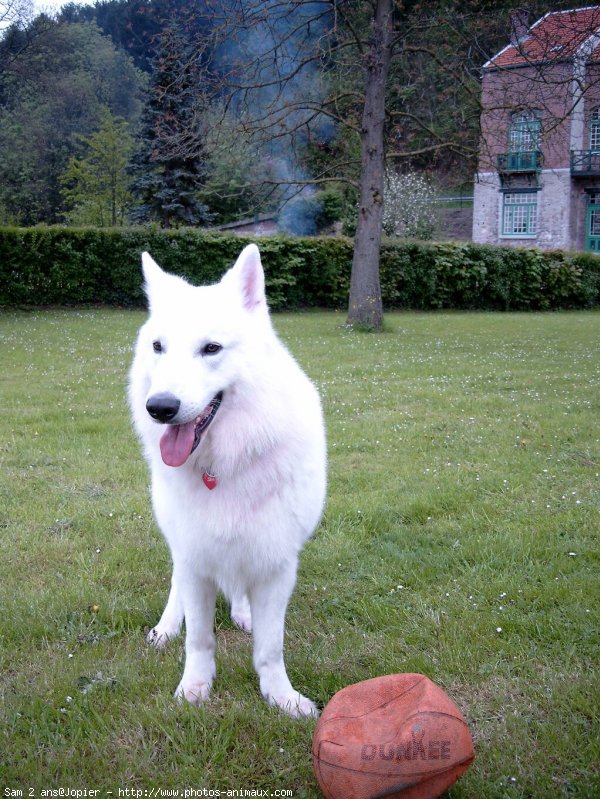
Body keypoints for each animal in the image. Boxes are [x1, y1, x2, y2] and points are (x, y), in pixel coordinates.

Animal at [129, 245, 328, 720]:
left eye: (211, 348)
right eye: (158, 347)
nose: (158, 408)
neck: (223, 464)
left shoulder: (275, 565)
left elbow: (270, 649)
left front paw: (281, 697)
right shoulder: (194, 559)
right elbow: (199, 639)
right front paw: (195, 688)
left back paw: (243, 612)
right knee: (176, 589)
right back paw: (167, 626)